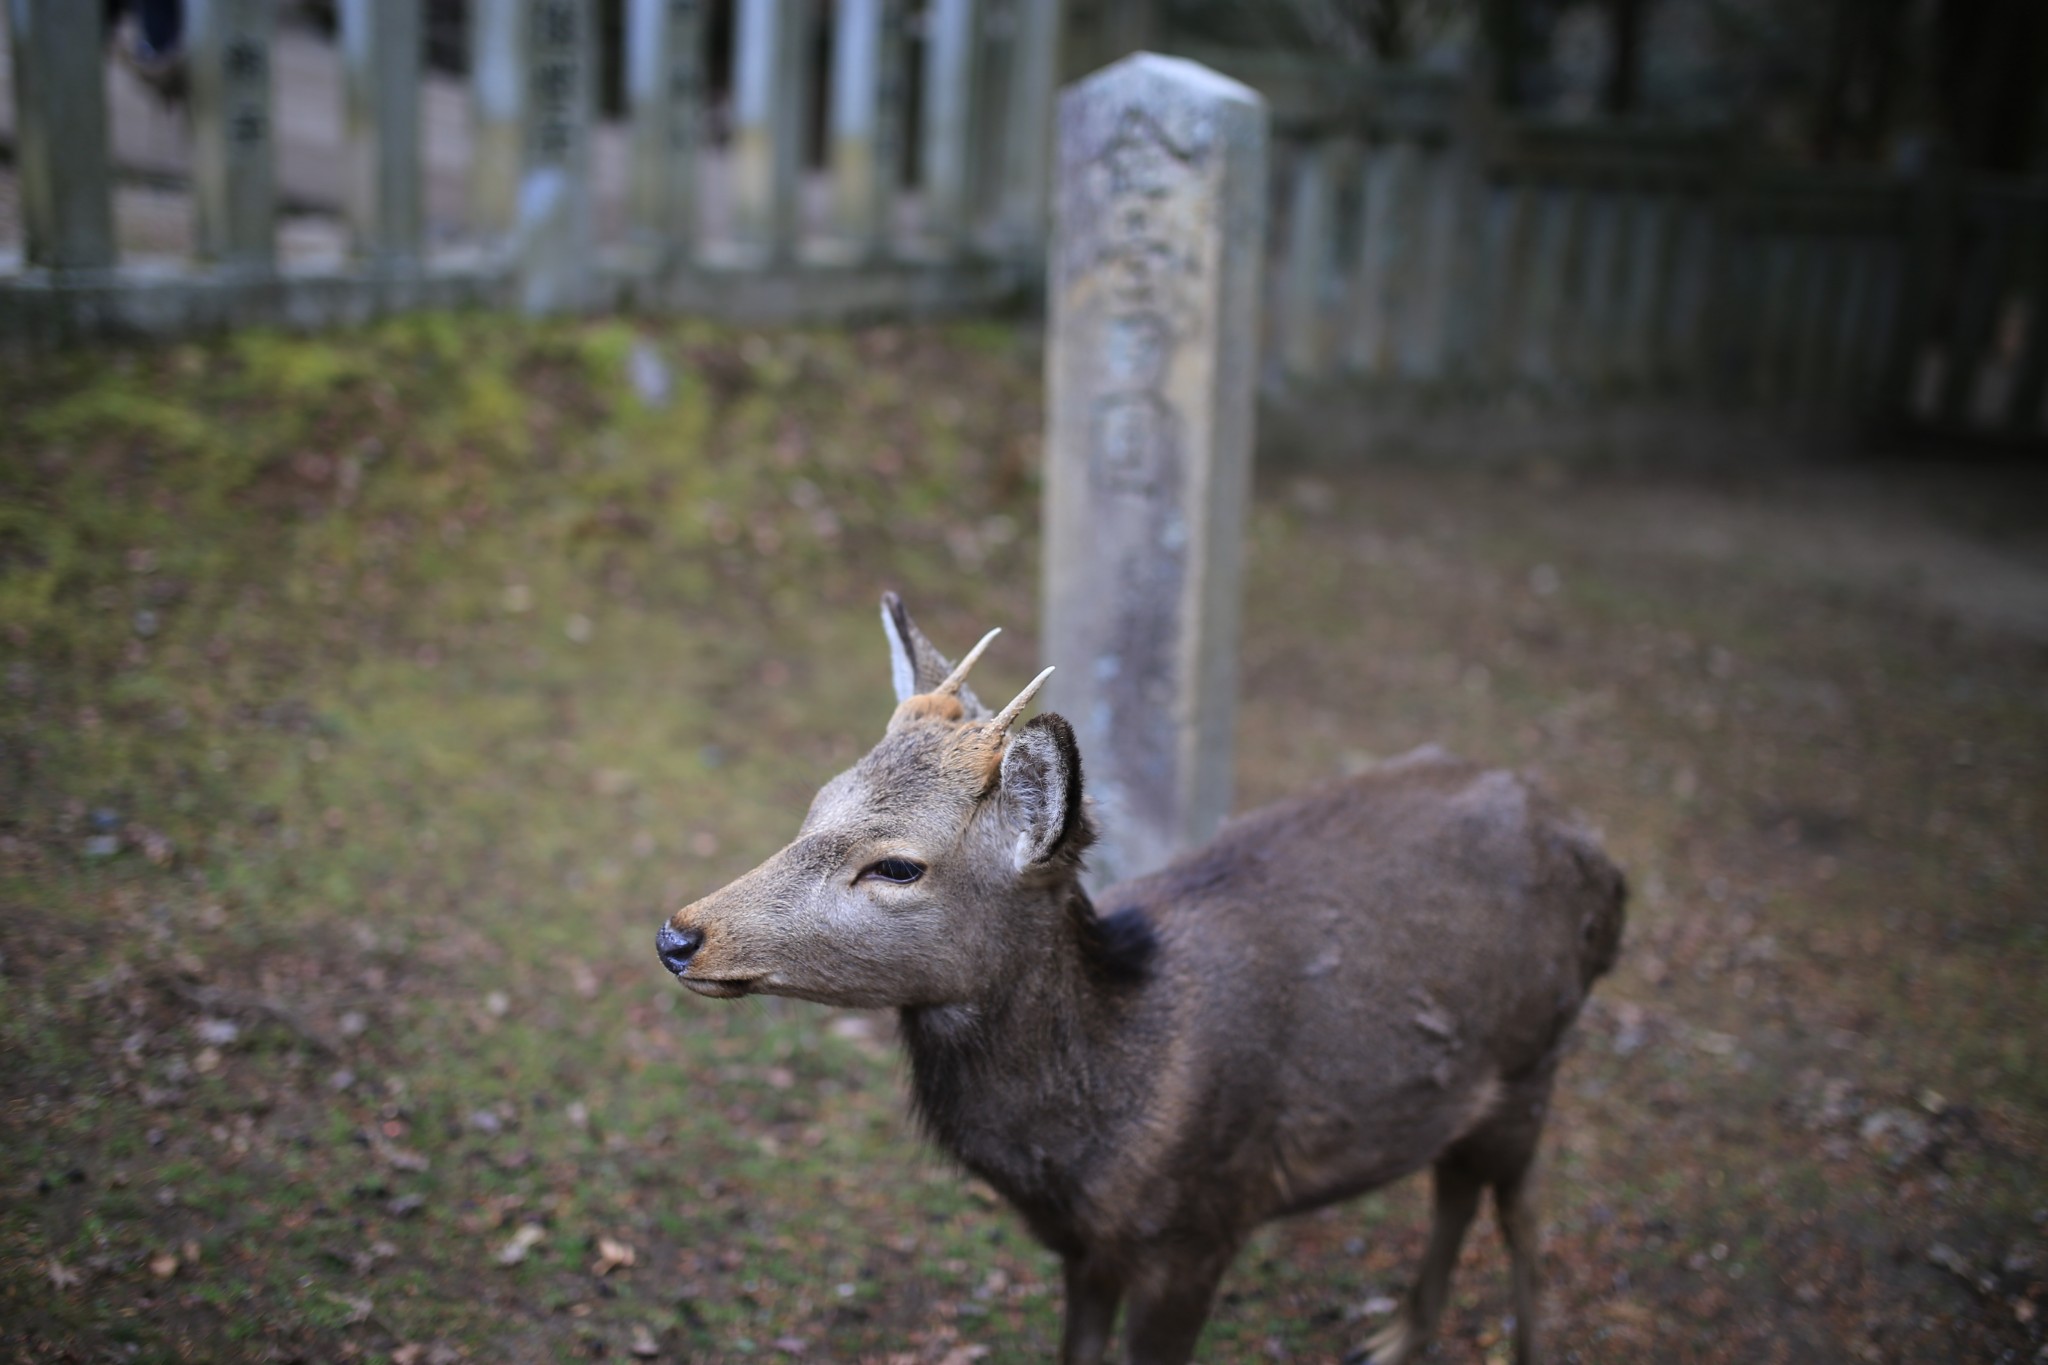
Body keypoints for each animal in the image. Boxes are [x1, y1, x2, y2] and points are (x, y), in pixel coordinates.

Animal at [651, 593, 1613, 1358]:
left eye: (897, 866)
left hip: (1537, 1055)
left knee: (1520, 1211)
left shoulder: (1199, 1230)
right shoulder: (1083, 1248)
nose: (679, 933)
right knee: (1454, 1182)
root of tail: (1596, 856)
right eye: (815, 805)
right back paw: (1400, 1335)